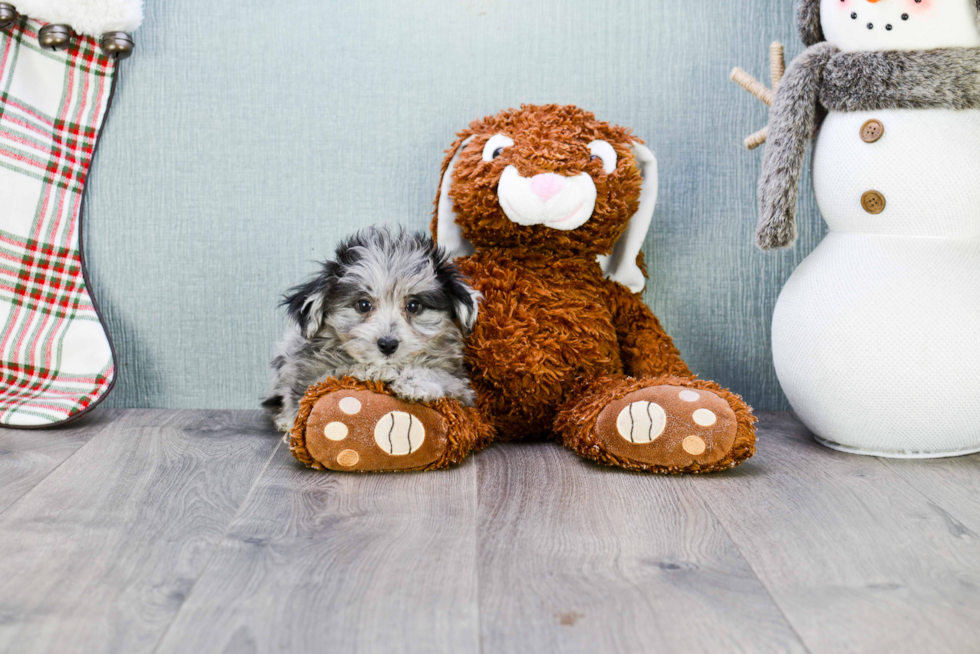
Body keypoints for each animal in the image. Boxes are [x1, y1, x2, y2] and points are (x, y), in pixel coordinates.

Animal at [262, 227, 480, 436]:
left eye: (413, 305)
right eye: (364, 304)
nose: (388, 344)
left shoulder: (462, 387)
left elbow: (443, 377)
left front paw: (415, 384)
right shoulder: (313, 378)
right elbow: (343, 369)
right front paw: (377, 370)